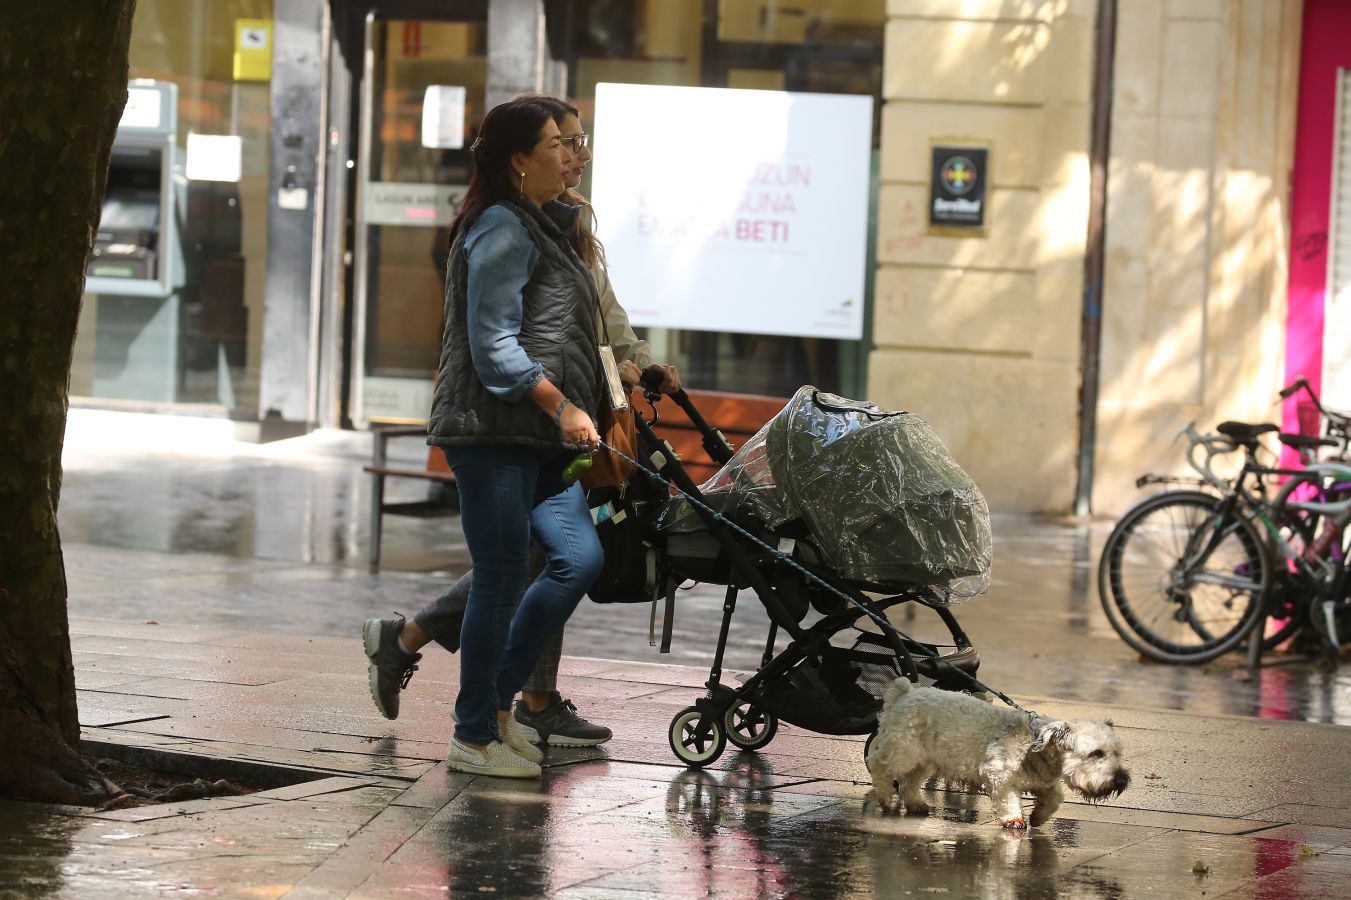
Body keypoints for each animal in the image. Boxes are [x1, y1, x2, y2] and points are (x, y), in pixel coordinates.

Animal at [864, 681, 1129, 827]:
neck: (1034, 748)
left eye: (1117, 752)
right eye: (1096, 753)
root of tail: (906, 693)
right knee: (878, 765)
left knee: (910, 781)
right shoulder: (998, 775)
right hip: (902, 751)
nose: (1121, 780)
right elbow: (1008, 798)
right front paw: (1014, 819)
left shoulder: (1044, 782)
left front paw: (1038, 817)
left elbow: (1055, 797)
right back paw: (885, 797)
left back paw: (916, 804)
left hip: (924, 760)